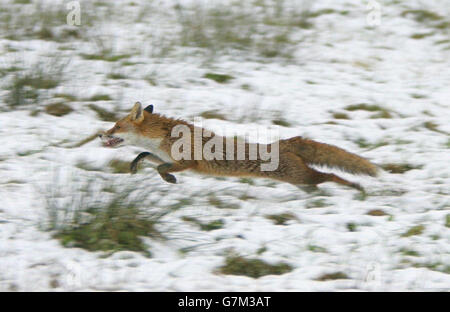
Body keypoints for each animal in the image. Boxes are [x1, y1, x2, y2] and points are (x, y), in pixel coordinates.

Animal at [98, 102, 376, 193]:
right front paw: (135, 165)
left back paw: (356, 188)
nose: (101, 134)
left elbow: (161, 168)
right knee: (321, 180)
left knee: (331, 175)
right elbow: (146, 155)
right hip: (301, 180)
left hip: (301, 176)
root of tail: (284, 143)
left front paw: (169, 179)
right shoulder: (165, 156)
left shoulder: (189, 162)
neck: (164, 137)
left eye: (116, 126)